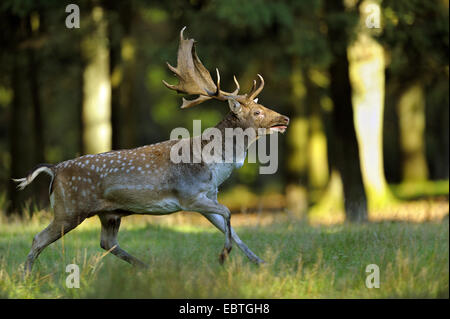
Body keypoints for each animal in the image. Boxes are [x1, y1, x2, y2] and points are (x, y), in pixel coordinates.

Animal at [14, 26, 290, 276]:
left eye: (263, 106)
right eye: (257, 112)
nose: (285, 118)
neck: (216, 167)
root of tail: (54, 170)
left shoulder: (209, 196)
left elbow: (231, 228)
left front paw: (261, 263)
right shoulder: (189, 196)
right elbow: (230, 214)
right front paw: (223, 256)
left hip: (108, 213)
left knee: (107, 242)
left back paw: (146, 267)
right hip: (69, 209)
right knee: (38, 238)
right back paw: (25, 277)